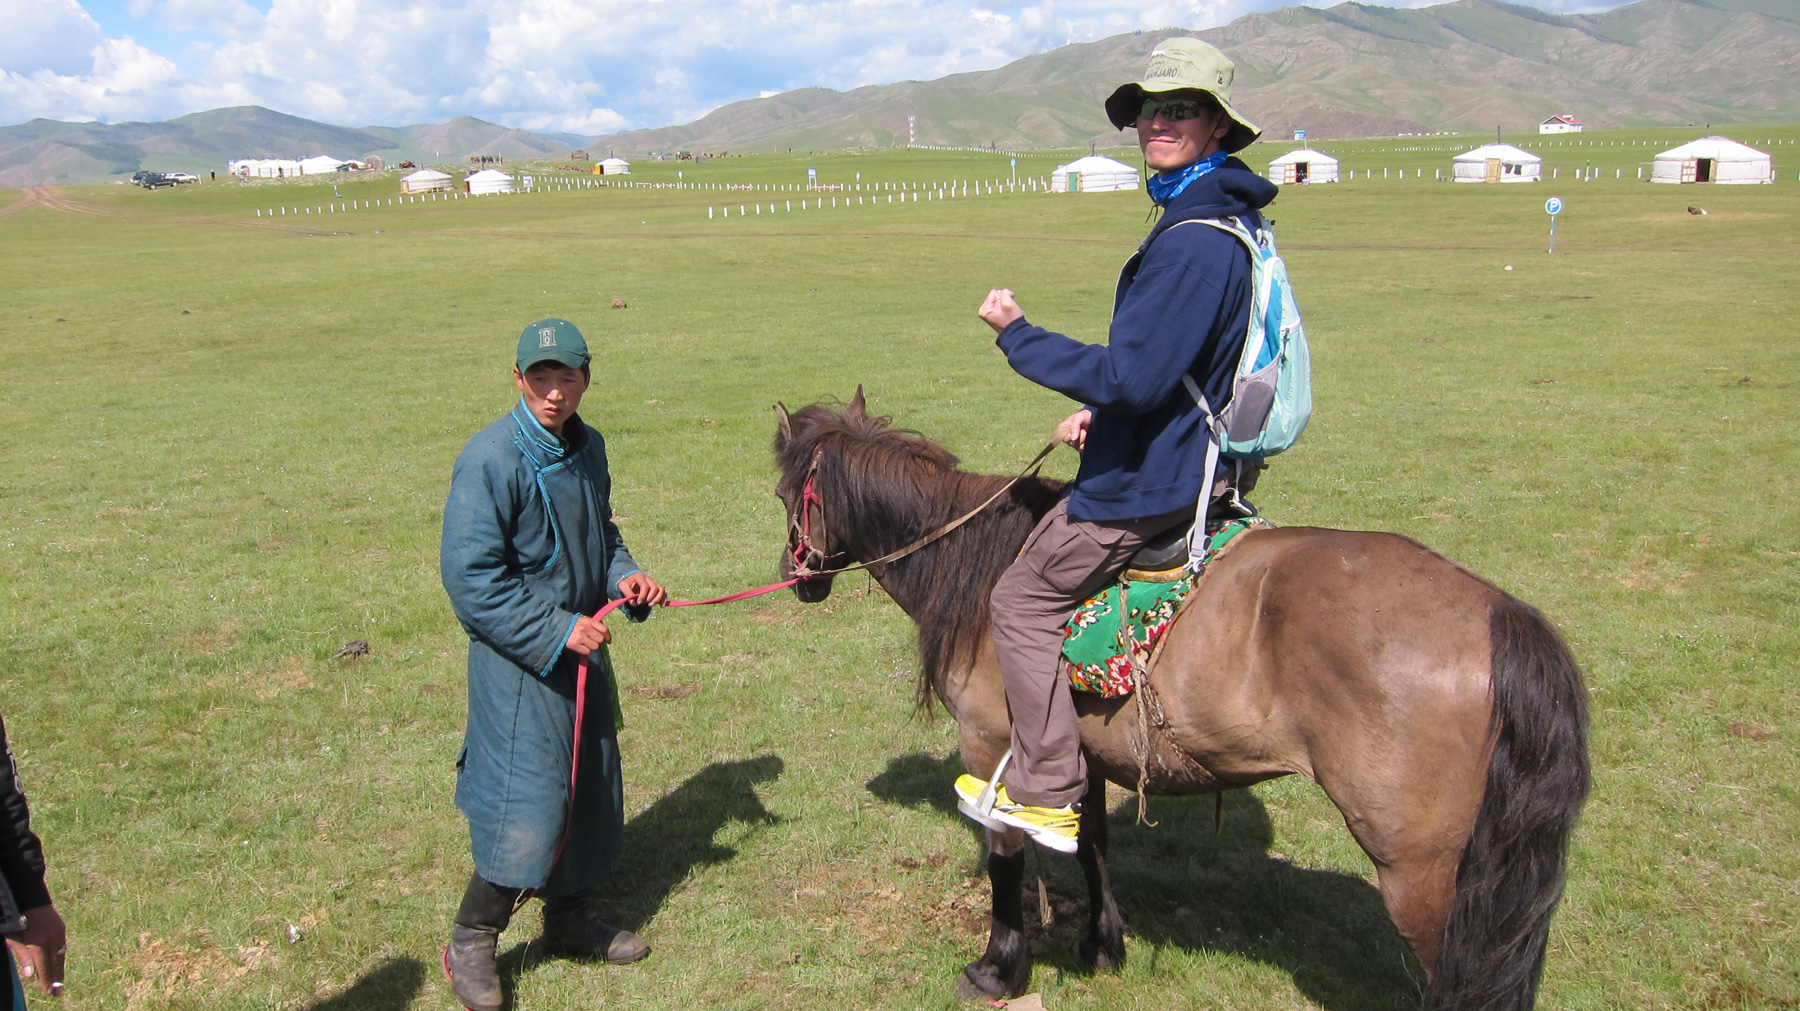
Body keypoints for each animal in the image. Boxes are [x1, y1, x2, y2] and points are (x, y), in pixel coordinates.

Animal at [774, 392, 1591, 1007]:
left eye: (784, 493)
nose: (796, 575)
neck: (981, 564)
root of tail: (1496, 611)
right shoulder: (1078, 750)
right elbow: (1090, 841)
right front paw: (1101, 943)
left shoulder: (990, 742)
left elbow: (1005, 853)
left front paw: (998, 968)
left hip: (1421, 877)